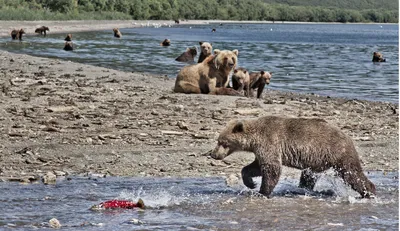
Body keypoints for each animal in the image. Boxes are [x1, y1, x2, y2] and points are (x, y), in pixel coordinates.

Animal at [211, 115, 376, 199]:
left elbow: (272, 168)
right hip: (317, 161)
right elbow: (255, 167)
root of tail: (347, 136)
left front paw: (262, 191)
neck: (254, 139)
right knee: (308, 177)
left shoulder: (270, 142)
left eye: (222, 142)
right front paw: (251, 183)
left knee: (352, 174)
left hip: (338, 154)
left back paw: (369, 192)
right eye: (218, 141)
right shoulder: (260, 149)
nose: (213, 154)